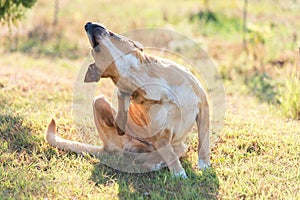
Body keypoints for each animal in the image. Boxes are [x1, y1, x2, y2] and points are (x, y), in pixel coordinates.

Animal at [46, 21, 211, 178]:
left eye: (114, 34)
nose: (87, 24)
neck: (138, 75)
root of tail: (105, 148)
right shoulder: (160, 136)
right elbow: (169, 154)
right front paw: (179, 174)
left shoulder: (203, 107)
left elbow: (203, 142)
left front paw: (204, 166)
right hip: (99, 102)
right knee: (137, 158)